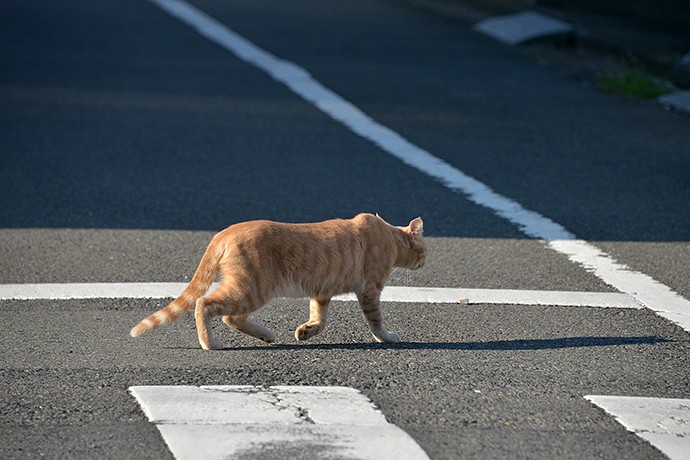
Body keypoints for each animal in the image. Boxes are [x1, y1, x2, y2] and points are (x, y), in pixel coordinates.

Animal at [127, 214, 422, 350]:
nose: (423, 263)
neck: (390, 236)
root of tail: (225, 232)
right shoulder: (370, 290)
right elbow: (376, 321)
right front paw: (387, 337)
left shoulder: (321, 292)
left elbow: (319, 318)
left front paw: (306, 331)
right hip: (252, 288)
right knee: (205, 304)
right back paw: (210, 343)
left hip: (249, 289)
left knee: (231, 317)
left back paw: (266, 335)